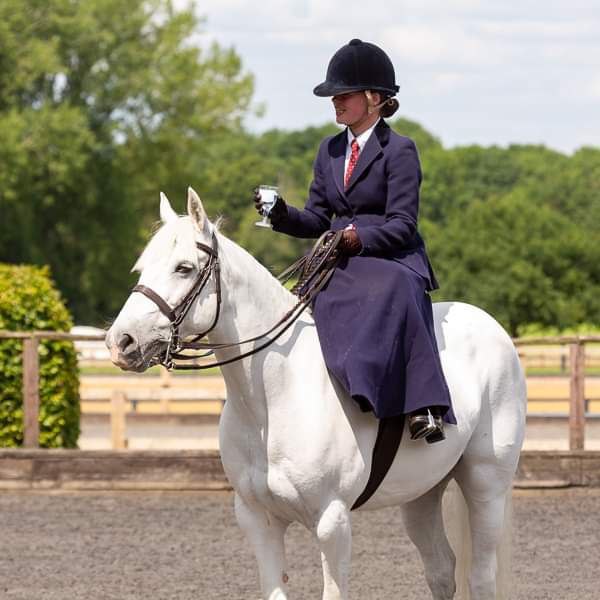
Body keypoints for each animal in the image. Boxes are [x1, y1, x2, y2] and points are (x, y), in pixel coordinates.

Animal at [106, 189, 524, 600]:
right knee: (441, 571)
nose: (120, 342)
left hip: (486, 484)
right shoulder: (258, 520)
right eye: (141, 269)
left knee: (481, 577)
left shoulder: (331, 521)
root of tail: (489, 325)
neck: (272, 401)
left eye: (184, 268)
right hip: (423, 493)